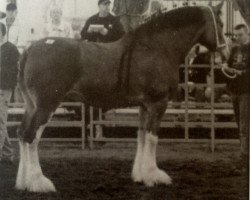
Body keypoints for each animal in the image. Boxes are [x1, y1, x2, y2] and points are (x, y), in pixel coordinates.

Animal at [16, 2, 229, 193]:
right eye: (220, 23)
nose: (226, 53)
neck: (157, 47)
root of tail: (30, 49)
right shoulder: (158, 103)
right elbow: (152, 138)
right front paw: (154, 175)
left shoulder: (144, 105)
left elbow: (141, 136)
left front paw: (141, 175)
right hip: (46, 106)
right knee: (31, 138)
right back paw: (38, 182)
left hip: (31, 106)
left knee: (22, 134)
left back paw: (23, 182)